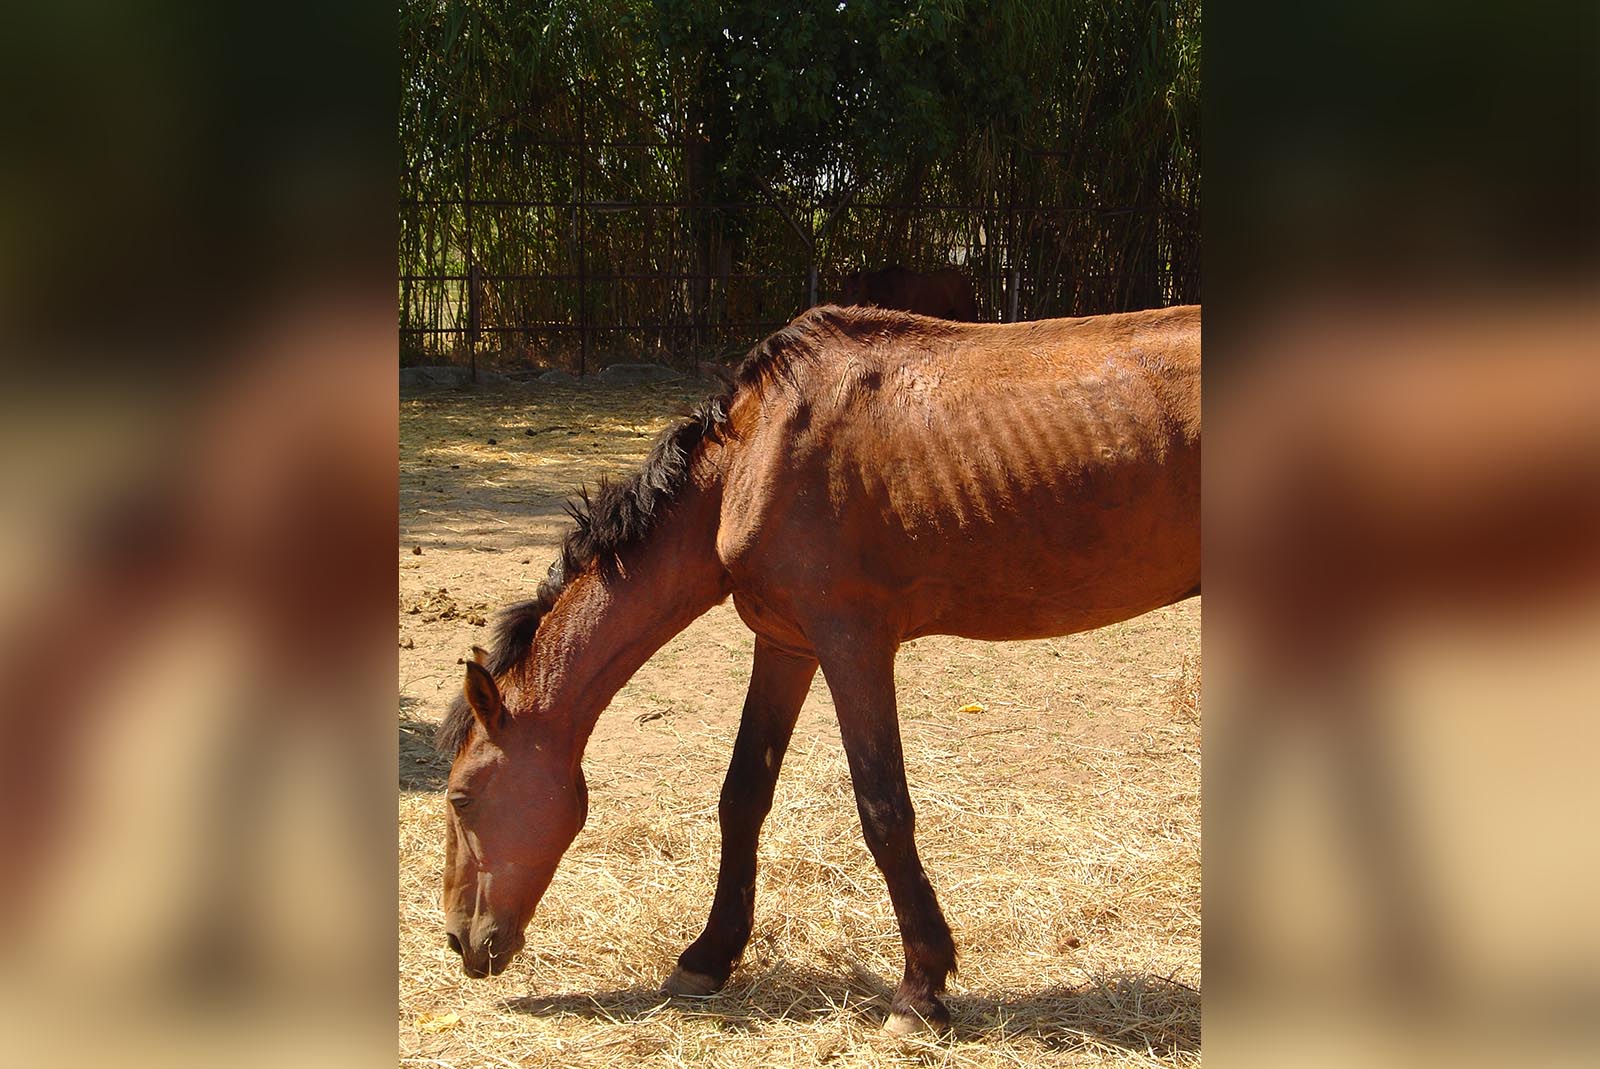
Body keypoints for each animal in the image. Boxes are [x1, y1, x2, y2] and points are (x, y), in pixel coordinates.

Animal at [438, 302, 1203, 1036]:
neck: (750, 459)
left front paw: (920, 990)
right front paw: (706, 957)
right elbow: (742, 796)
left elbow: (884, 810)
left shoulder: (852, 644)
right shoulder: (786, 646)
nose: (460, 941)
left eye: (462, 798)